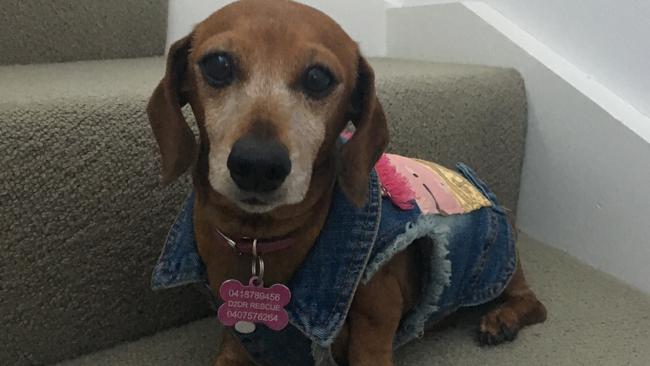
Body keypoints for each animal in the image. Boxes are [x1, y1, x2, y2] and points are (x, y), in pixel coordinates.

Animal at [146, 0, 540, 366]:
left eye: (318, 78)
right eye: (218, 65)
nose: (257, 164)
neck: (258, 238)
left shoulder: (376, 317)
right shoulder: (234, 331)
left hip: (498, 265)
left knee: (533, 303)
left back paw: (503, 319)